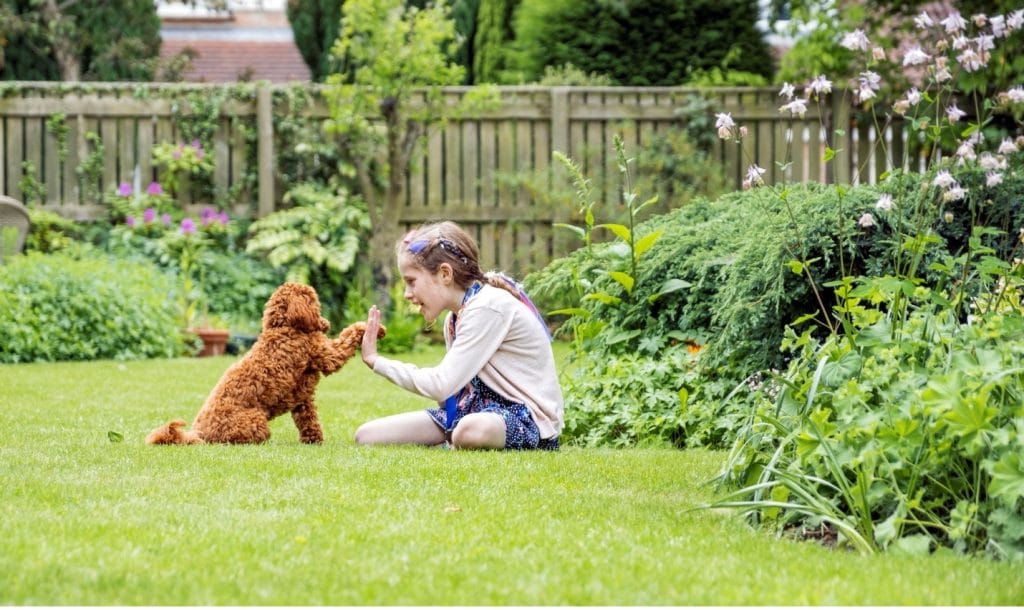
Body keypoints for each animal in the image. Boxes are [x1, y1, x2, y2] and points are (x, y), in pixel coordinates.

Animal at [145, 284, 385, 446]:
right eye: (314, 302)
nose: (325, 322)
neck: (285, 328)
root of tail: (198, 433)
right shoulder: (326, 354)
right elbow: (349, 335)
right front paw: (374, 328)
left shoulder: (302, 396)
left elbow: (308, 420)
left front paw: (314, 440)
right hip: (255, 419)